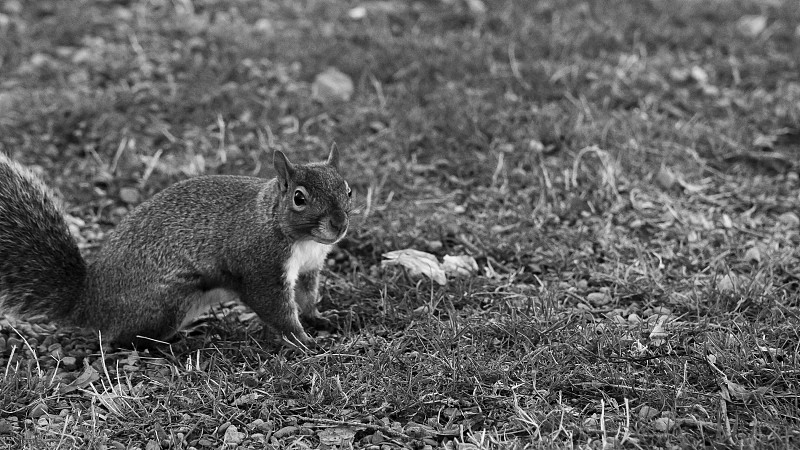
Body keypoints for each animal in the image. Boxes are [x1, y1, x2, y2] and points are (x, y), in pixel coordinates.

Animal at [0, 144, 350, 348]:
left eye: (347, 189)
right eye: (299, 198)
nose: (339, 224)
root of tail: (88, 301)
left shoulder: (309, 267)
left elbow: (306, 297)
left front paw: (319, 318)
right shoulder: (260, 267)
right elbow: (276, 308)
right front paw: (302, 339)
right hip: (165, 304)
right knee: (118, 340)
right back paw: (172, 344)